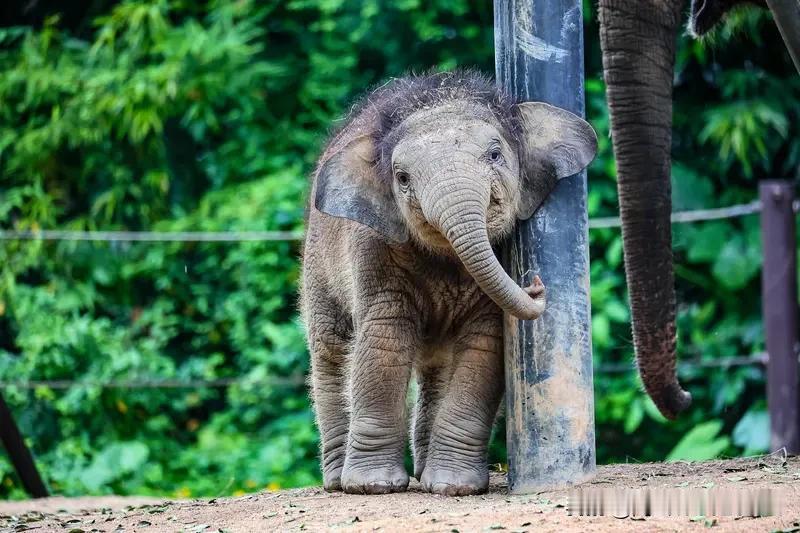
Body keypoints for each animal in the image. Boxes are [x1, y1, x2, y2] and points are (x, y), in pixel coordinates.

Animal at [300, 70, 597, 496]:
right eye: (402, 178)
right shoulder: (373, 246)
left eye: (495, 155)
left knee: (437, 368)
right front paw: (374, 486)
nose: (535, 285)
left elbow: (485, 347)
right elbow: (385, 338)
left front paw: (452, 487)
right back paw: (337, 482)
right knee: (331, 350)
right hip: (316, 264)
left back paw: (425, 476)